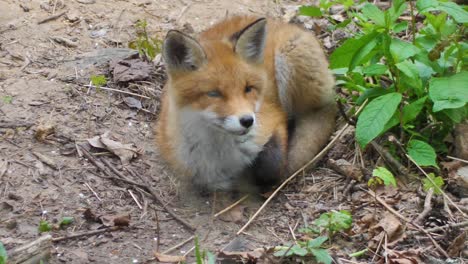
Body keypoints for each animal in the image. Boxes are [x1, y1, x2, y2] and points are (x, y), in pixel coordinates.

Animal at [156, 14, 336, 192]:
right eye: (214, 93)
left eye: (248, 88)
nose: (247, 121)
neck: (221, 155)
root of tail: (278, 21)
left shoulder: (274, 118)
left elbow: (271, 166)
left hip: (294, 59)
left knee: (322, 110)